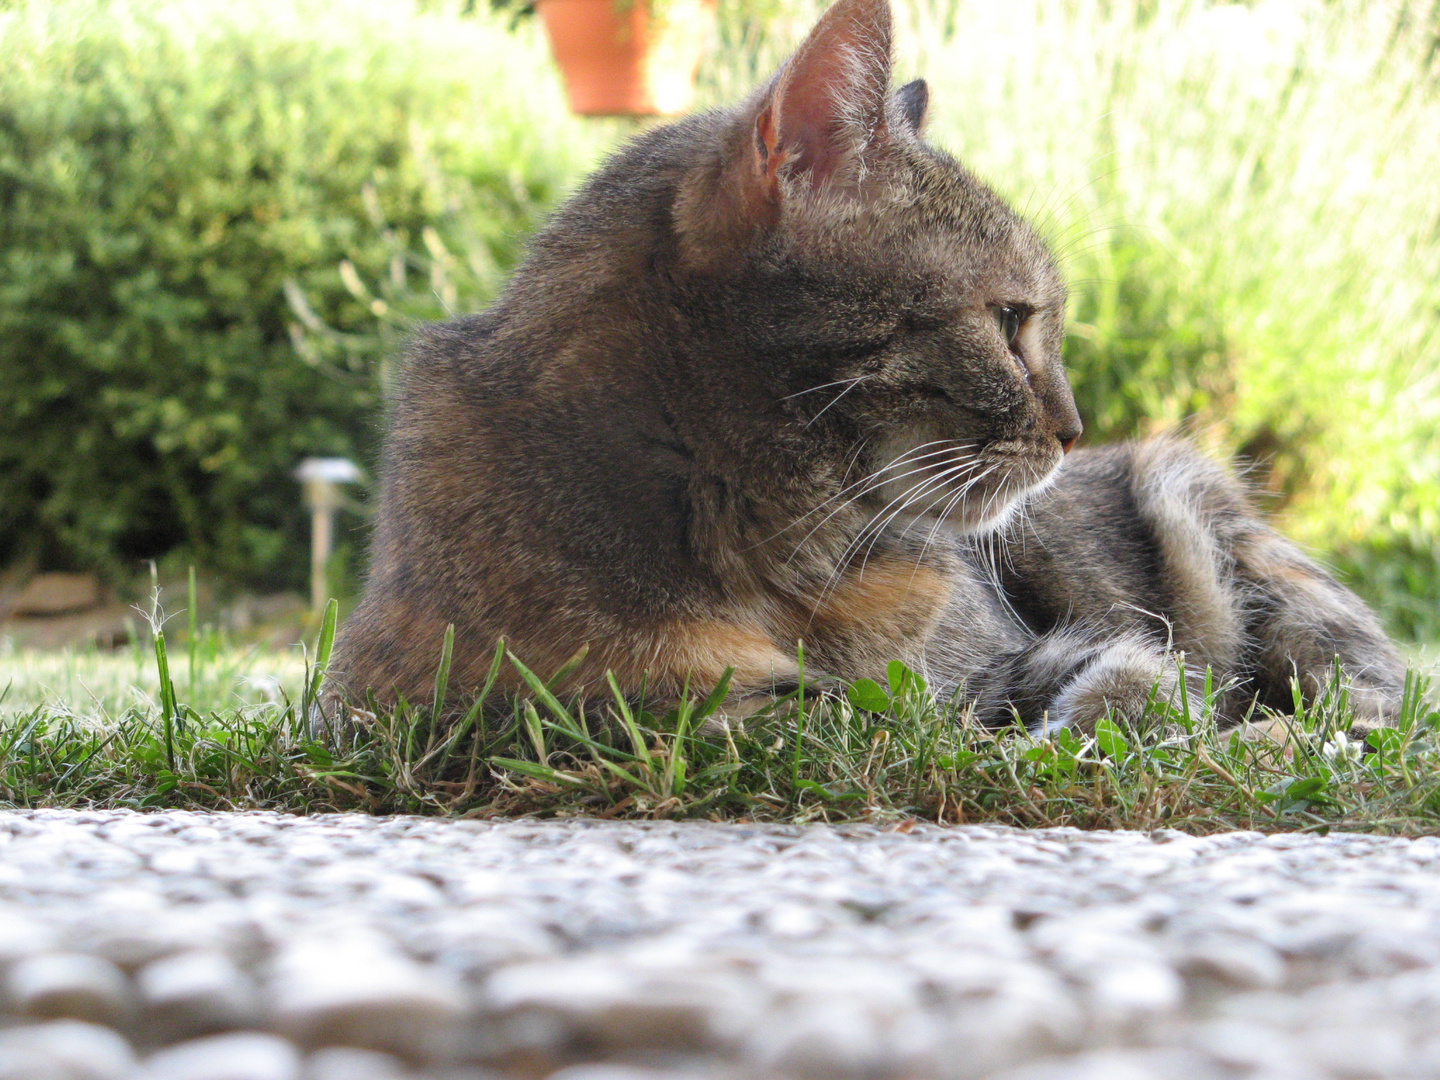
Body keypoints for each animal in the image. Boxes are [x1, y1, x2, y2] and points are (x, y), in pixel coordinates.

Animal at [321, 0, 1399, 737]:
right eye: (1010, 321)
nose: (1074, 428)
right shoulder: (398, 706)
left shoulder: (1006, 663)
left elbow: (1113, 683)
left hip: (1198, 510)